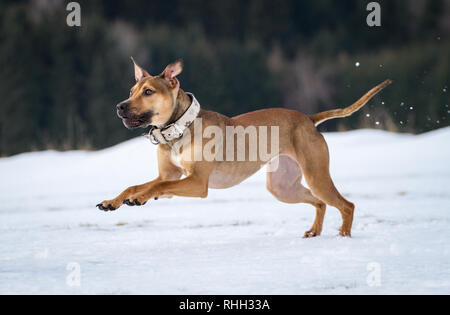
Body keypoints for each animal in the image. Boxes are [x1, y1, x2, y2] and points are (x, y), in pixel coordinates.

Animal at [96, 58, 392, 238]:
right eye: (131, 90)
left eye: (148, 92)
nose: (119, 106)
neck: (179, 128)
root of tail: (308, 119)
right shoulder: (170, 175)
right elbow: (137, 185)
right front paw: (114, 201)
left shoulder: (196, 183)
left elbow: (156, 187)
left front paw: (142, 197)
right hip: (283, 187)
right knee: (320, 202)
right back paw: (314, 232)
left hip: (316, 175)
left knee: (347, 205)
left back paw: (343, 237)